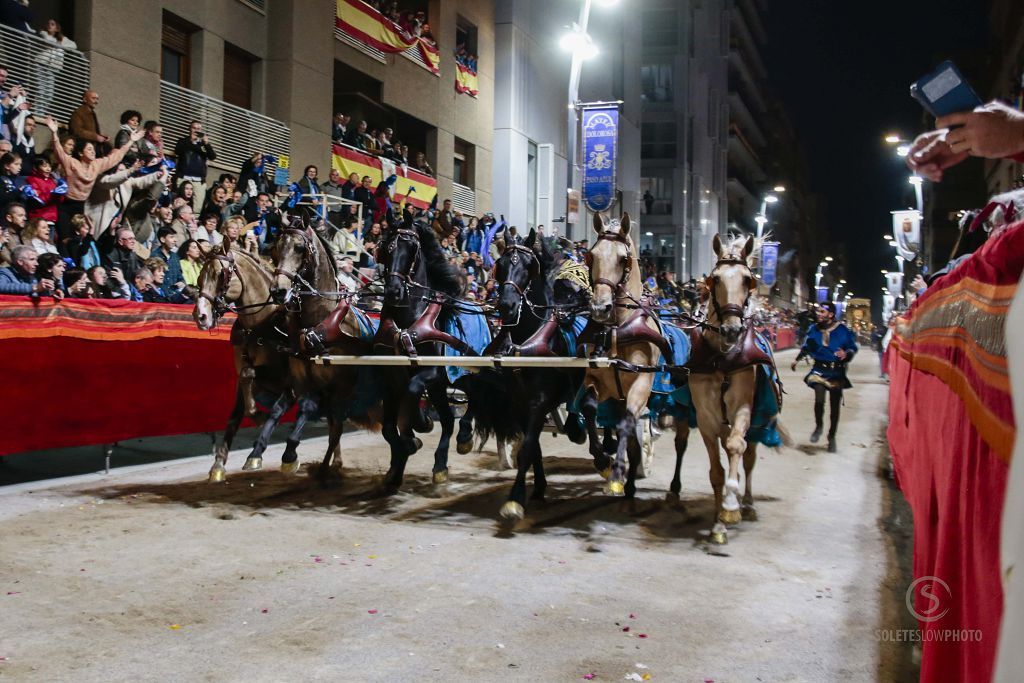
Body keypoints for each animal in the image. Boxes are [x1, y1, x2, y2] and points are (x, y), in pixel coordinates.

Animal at [192, 244, 315, 481]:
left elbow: (276, 408)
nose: (201, 315)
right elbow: (241, 400)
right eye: (200, 276)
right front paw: (218, 464)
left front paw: (261, 428)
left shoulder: (290, 383)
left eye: (221, 275)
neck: (261, 326)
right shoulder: (244, 376)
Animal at [577, 211, 655, 497]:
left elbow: (627, 423)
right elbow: (588, 407)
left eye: (623, 258)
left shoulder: (642, 383)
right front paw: (602, 459)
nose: (600, 308)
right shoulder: (599, 381)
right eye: (591, 256)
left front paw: (617, 472)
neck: (618, 330)